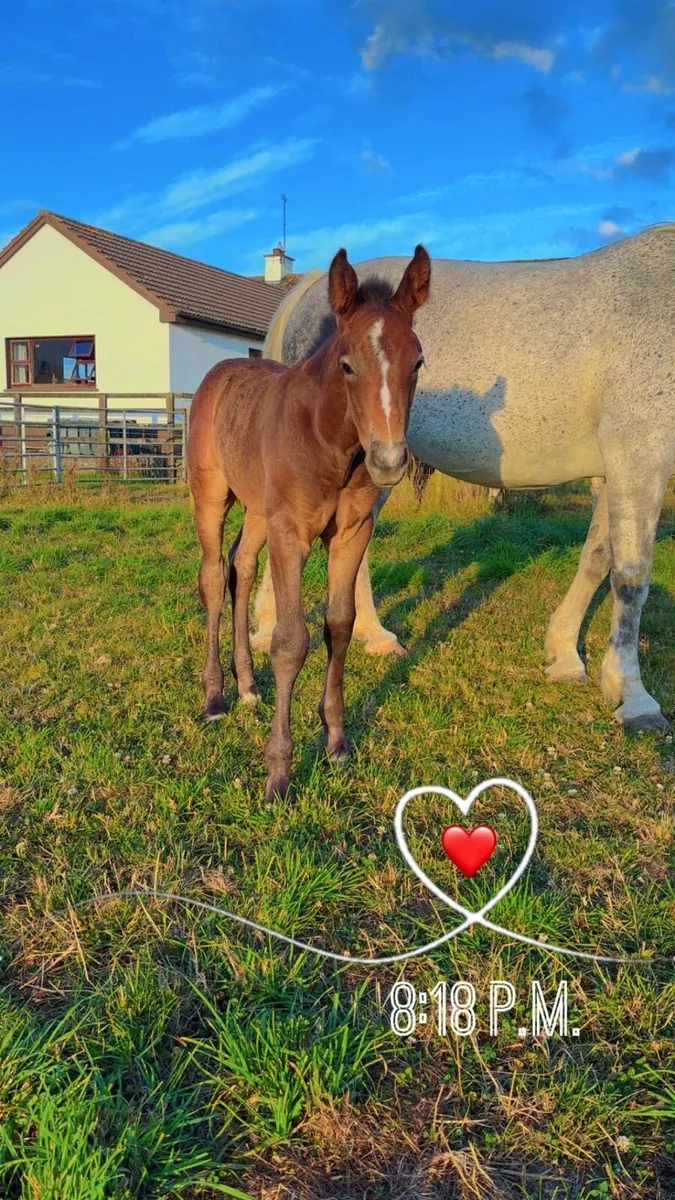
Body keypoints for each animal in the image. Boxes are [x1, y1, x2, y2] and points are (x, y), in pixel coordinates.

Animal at [187, 245, 431, 800]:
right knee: (212, 576)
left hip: (259, 511)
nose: (388, 460)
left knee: (241, 568)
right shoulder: (292, 535)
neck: (328, 439)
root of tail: (220, 370)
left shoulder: (350, 533)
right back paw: (215, 697)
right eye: (347, 365)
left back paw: (248, 686)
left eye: (418, 362)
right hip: (211, 495)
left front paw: (336, 740)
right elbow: (290, 641)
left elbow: (339, 625)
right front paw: (279, 771)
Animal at [252, 225, 675, 731]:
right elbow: (632, 576)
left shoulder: (614, 469)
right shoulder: (641, 453)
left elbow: (596, 558)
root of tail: (310, 288)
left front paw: (566, 655)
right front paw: (634, 696)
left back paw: (355, 634)